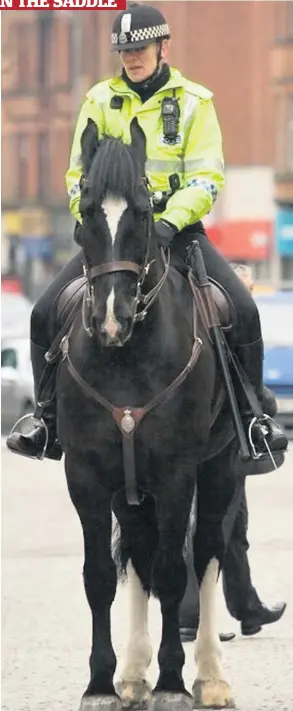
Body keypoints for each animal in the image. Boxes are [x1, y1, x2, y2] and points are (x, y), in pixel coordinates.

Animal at [56, 118, 237, 711]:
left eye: (141, 210)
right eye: (88, 207)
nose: (111, 320)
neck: (127, 354)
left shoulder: (178, 474)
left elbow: (174, 572)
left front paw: (174, 681)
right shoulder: (87, 474)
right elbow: (98, 576)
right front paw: (99, 683)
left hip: (221, 465)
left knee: (206, 552)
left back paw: (209, 676)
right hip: (129, 485)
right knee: (135, 551)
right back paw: (133, 673)